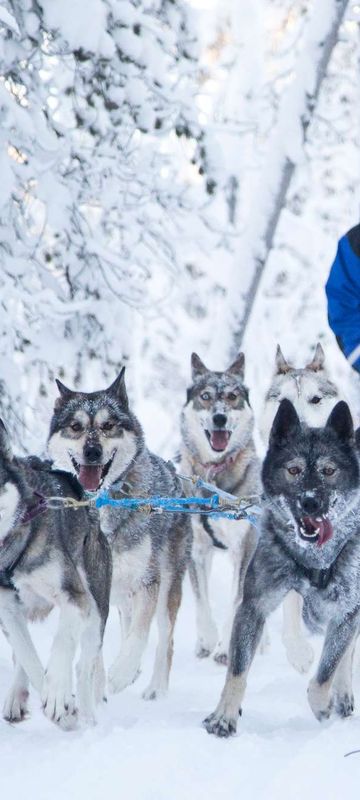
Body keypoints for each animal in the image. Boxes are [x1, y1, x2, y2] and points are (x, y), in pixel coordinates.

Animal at [0, 422, 111, 728]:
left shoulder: (76, 597)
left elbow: (62, 643)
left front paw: (60, 699)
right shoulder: (7, 609)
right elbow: (28, 657)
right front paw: (59, 707)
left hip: (96, 608)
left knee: (84, 667)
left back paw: (88, 719)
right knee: (20, 658)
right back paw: (17, 694)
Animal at [50, 370, 194, 700]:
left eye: (108, 425)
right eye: (75, 427)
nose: (92, 451)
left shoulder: (147, 581)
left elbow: (139, 634)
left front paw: (122, 673)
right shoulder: (94, 591)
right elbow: (97, 648)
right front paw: (98, 687)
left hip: (167, 586)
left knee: (164, 639)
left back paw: (154, 687)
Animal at [181, 354, 260, 664]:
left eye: (231, 396)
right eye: (205, 396)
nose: (219, 418)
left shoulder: (245, 548)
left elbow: (237, 600)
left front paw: (225, 646)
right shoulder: (197, 548)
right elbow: (201, 599)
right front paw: (208, 638)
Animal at [204, 400, 360, 736]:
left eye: (329, 471)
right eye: (294, 470)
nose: (310, 502)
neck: (314, 559)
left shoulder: (346, 610)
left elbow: (324, 674)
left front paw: (324, 706)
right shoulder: (254, 606)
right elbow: (237, 671)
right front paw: (224, 716)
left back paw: (342, 695)